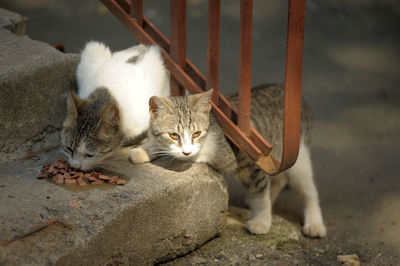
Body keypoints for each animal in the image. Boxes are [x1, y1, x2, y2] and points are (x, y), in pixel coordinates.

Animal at [130, 85, 326, 237]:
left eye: (196, 133)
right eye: (173, 135)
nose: (186, 151)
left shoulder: (250, 160)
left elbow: (259, 192)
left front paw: (261, 220)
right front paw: (143, 149)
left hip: (298, 157)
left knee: (308, 190)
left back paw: (315, 224)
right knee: (280, 180)